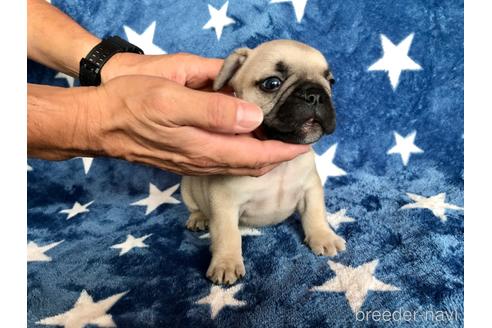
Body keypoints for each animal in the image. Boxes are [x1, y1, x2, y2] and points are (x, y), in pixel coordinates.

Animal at [181, 39, 346, 284]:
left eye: (331, 82)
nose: (316, 94)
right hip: (187, 186)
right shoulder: (224, 203)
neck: (280, 168)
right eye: (272, 83)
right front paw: (226, 262)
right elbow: (227, 233)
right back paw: (199, 218)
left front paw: (323, 236)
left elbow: (315, 213)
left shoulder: (311, 189)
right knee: (194, 208)